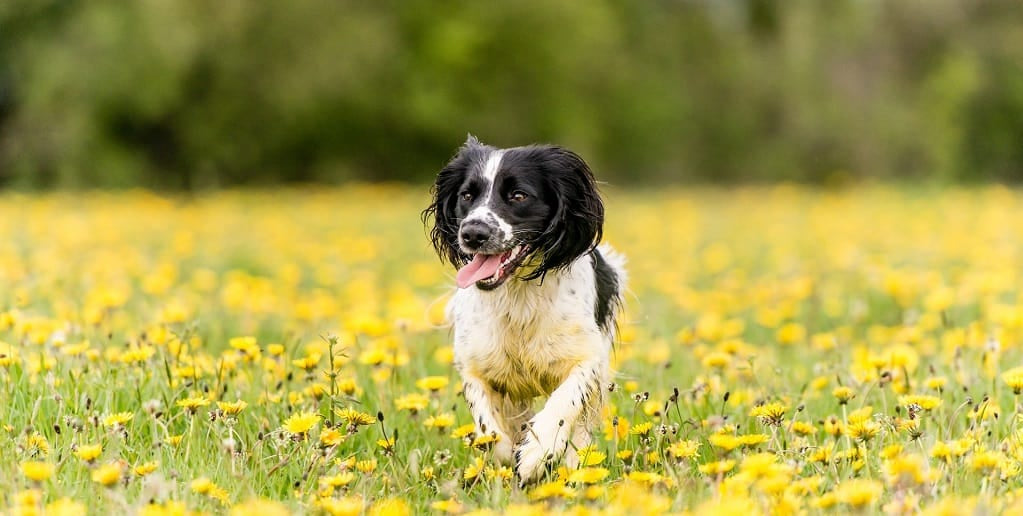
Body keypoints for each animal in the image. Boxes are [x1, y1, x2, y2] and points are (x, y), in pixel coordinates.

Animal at [423, 135, 621, 481]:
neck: (517, 294)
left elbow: (565, 402)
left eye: (518, 195)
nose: (473, 233)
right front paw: (509, 452)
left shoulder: (588, 358)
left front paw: (536, 454)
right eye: (467, 195)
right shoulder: (476, 364)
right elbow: (489, 428)